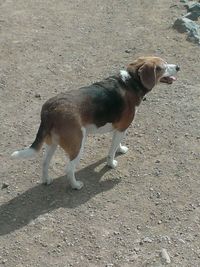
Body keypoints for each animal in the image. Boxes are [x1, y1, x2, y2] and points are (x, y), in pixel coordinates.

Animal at [11, 56, 180, 191]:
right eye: (162, 67)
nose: (178, 67)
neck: (132, 81)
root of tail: (50, 109)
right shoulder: (122, 128)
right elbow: (111, 152)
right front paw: (111, 164)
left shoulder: (119, 128)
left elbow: (117, 144)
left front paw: (121, 149)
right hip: (77, 144)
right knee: (69, 168)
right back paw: (76, 185)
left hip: (52, 143)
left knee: (45, 162)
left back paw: (46, 180)